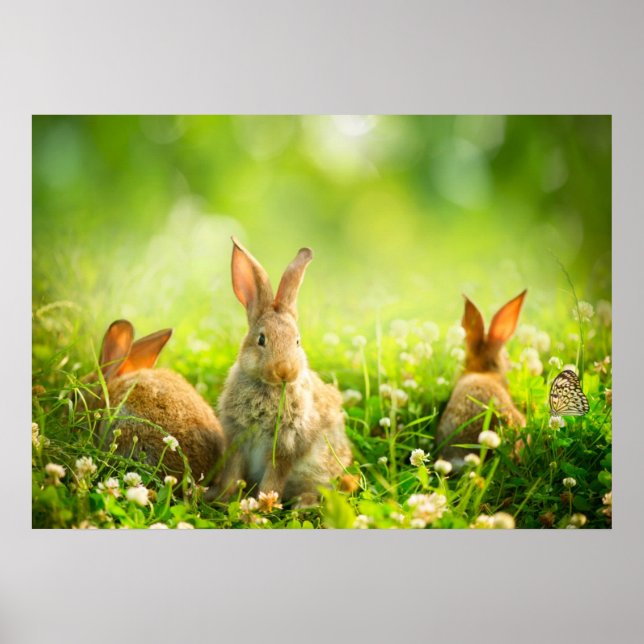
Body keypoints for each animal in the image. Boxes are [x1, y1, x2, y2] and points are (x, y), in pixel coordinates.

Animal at [213, 237, 352, 507]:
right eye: (261, 339)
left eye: (297, 341)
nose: (285, 370)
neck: (270, 388)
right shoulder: (237, 439)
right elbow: (233, 474)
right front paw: (224, 499)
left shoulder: (286, 447)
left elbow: (273, 480)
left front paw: (262, 506)